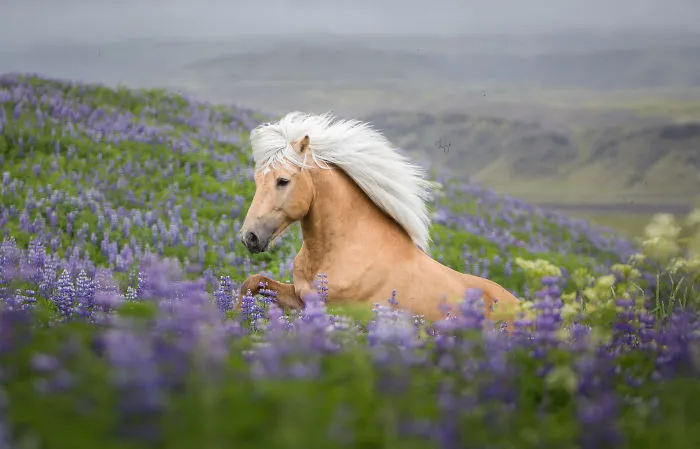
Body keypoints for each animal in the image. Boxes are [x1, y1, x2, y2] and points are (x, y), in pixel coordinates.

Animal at [236, 111, 520, 327]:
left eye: (283, 181)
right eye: (257, 179)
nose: (249, 237)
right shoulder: (300, 297)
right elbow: (253, 282)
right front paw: (235, 319)